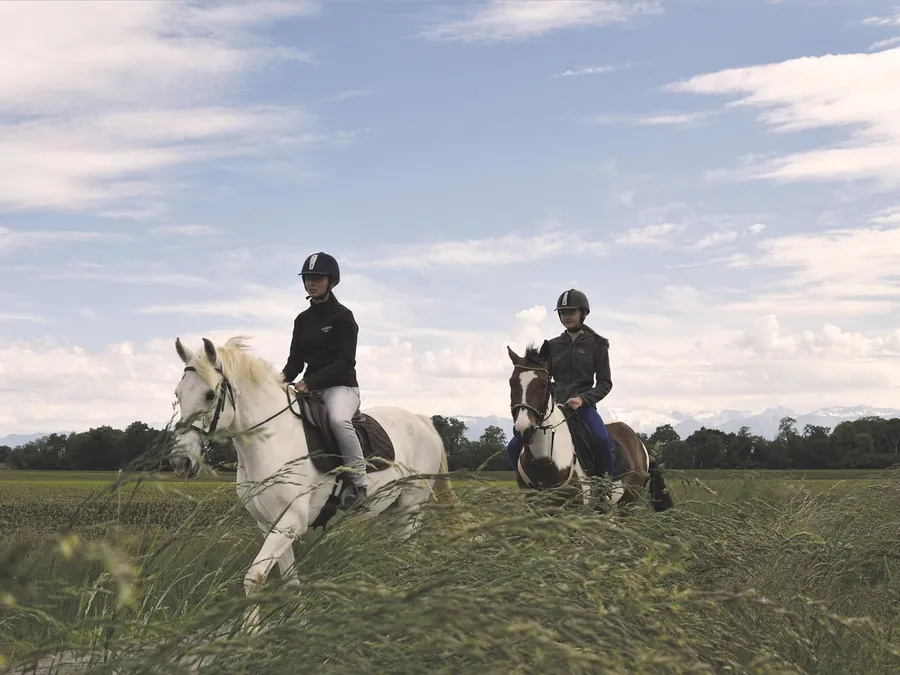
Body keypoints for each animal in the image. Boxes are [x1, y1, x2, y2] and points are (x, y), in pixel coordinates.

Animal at [168, 336, 454, 632]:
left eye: (209, 395)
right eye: (178, 394)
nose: (180, 461)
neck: (272, 438)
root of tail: (421, 421)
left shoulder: (290, 523)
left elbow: (254, 577)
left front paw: (250, 634)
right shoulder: (271, 525)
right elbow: (290, 580)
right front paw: (297, 621)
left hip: (411, 506)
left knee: (409, 551)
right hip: (391, 510)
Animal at [506, 344, 676, 512]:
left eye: (543, 384)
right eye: (511, 383)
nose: (523, 430)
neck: (545, 460)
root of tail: (639, 440)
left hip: (629, 504)